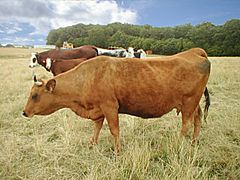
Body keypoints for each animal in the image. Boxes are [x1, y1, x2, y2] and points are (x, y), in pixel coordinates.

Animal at [22, 47, 210, 153]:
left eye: (35, 95)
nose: (24, 112)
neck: (88, 77)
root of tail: (194, 52)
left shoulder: (110, 107)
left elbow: (114, 130)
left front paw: (118, 151)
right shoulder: (98, 110)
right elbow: (96, 128)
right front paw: (92, 144)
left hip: (189, 103)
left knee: (186, 124)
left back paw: (179, 145)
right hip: (193, 104)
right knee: (198, 119)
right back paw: (194, 142)